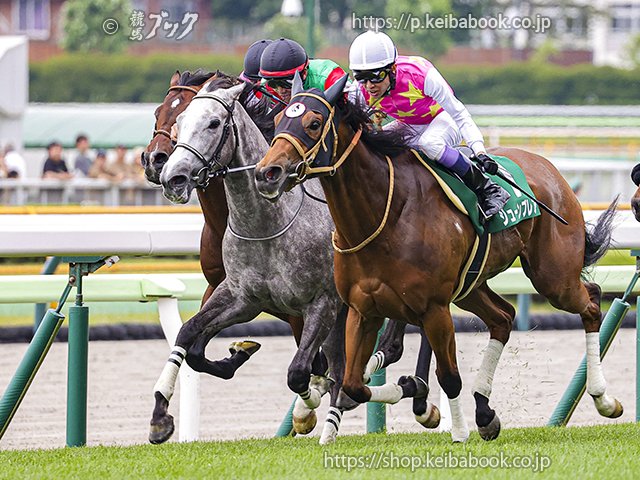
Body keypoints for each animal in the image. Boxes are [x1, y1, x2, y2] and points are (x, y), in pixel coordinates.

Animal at [254, 74, 621, 442]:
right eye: (278, 119)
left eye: (314, 123)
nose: (267, 172)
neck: (385, 214)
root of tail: (549, 168)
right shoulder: (362, 309)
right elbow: (354, 383)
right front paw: (404, 389)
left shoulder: (434, 308)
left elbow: (448, 377)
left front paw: (455, 430)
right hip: (471, 285)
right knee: (503, 317)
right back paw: (485, 412)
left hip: (553, 277)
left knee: (591, 303)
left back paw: (603, 397)